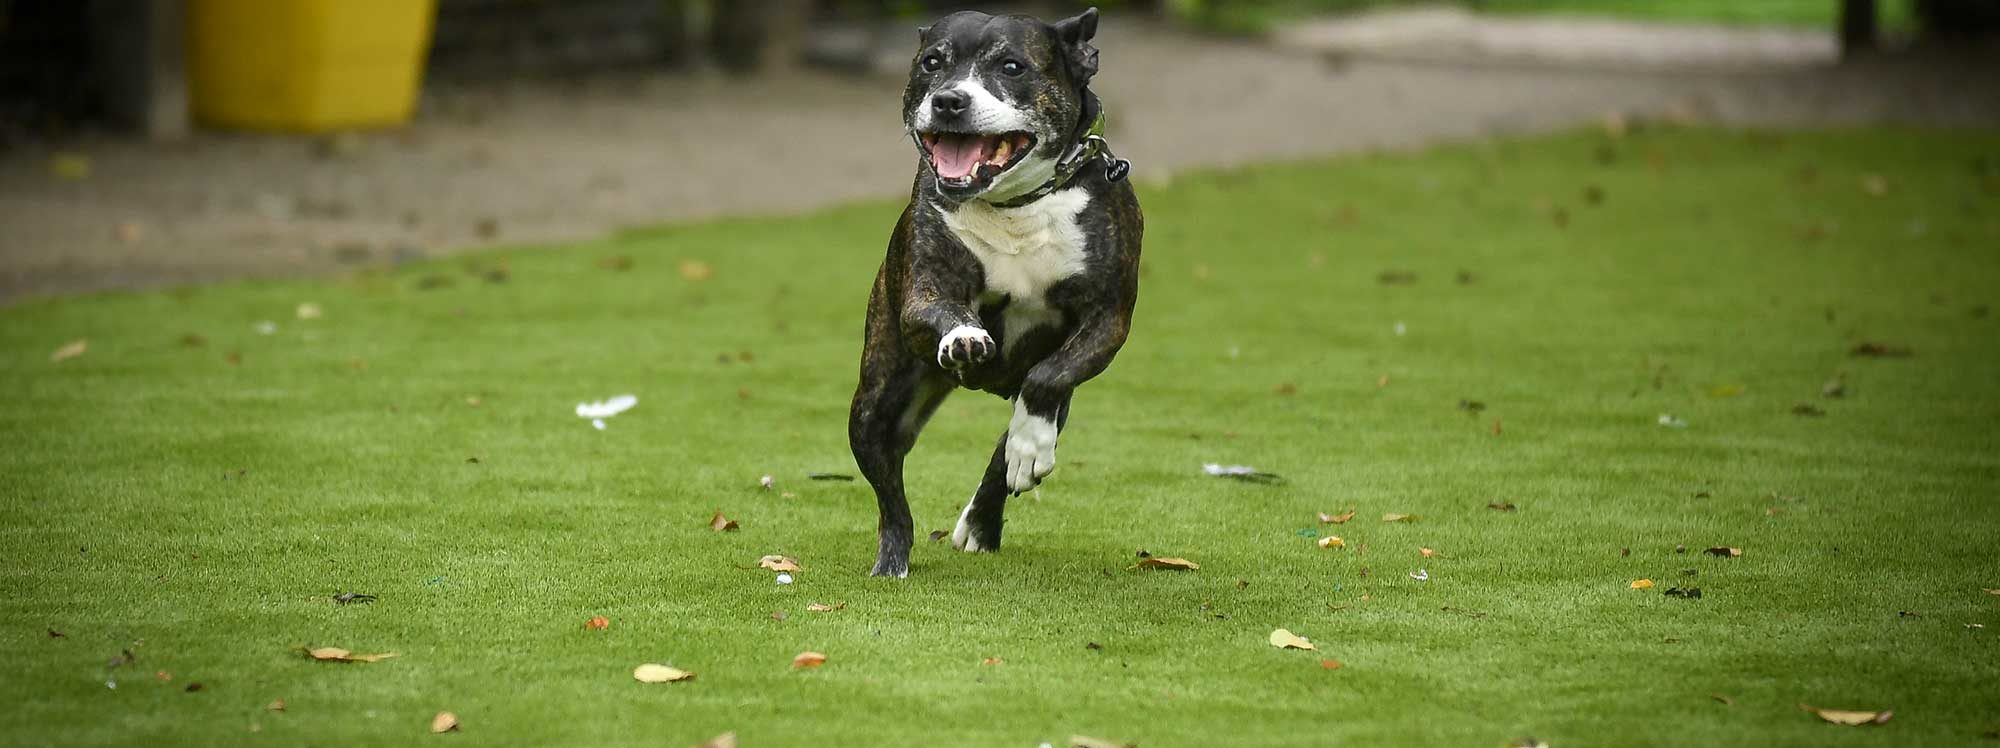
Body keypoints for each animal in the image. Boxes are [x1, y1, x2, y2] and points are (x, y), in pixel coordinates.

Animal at [844, 7, 1144, 580]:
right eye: (932, 63)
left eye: (1011, 66)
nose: (949, 100)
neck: (1014, 206)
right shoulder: (921, 293)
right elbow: (943, 310)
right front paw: (964, 336)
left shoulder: (1106, 318)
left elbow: (1047, 378)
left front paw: (1028, 446)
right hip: (875, 408)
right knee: (892, 500)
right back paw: (893, 561)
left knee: (1015, 436)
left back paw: (988, 513)